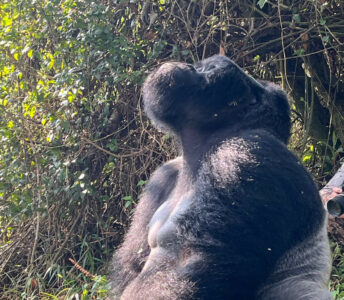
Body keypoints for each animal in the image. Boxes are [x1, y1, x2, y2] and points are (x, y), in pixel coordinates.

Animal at [108, 55, 334, 298]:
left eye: (214, 69)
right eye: (205, 65)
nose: (198, 65)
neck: (202, 146)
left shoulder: (247, 153)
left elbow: (203, 261)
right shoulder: (163, 175)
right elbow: (133, 264)